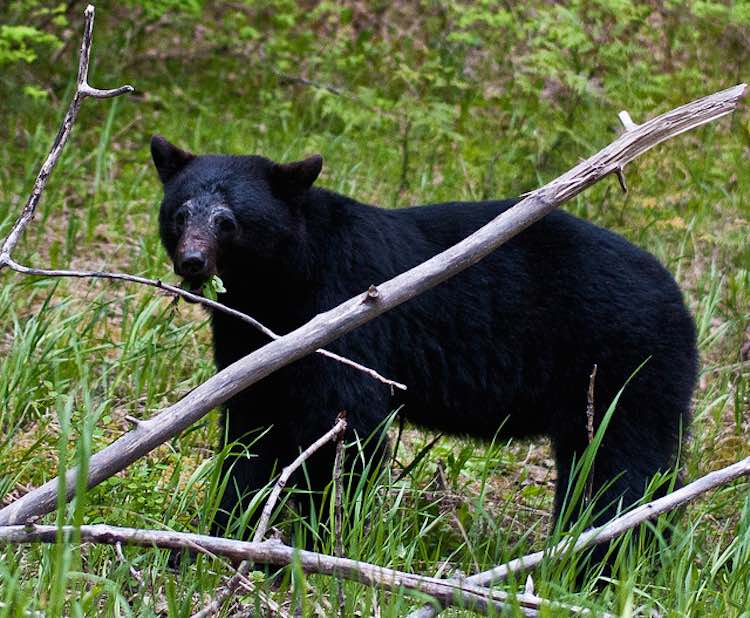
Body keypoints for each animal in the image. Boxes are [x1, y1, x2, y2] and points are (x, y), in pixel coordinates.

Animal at [151, 135, 698, 568]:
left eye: (228, 221)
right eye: (179, 214)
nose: (193, 261)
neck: (276, 287)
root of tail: (678, 300)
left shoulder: (341, 316)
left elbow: (345, 422)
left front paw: (316, 547)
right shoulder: (251, 339)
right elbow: (250, 433)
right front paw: (210, 543)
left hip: (621, 363)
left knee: (620, 468)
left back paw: (601, 564)